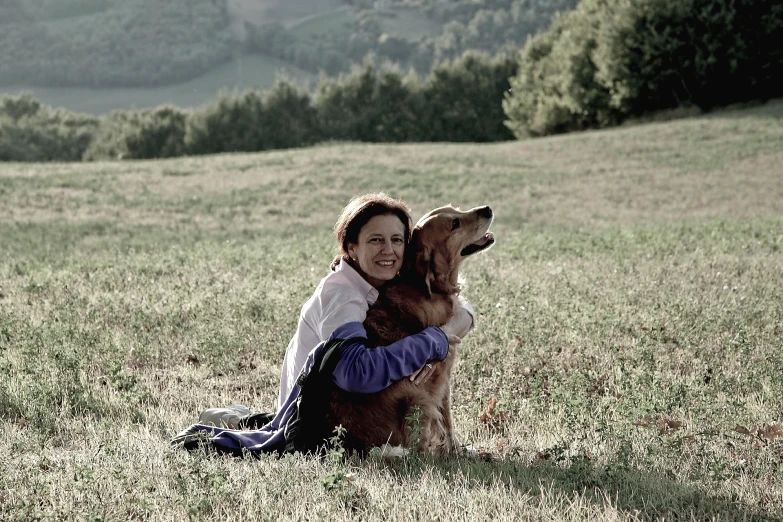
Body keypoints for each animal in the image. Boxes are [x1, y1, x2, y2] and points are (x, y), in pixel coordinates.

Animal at [326, 205, 496, 452]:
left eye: (456, 209)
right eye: (454, 224)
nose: (488, 209)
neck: (428, 286)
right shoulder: (442, 374)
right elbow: (447, 419)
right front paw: (455, 451)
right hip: (415, 397)